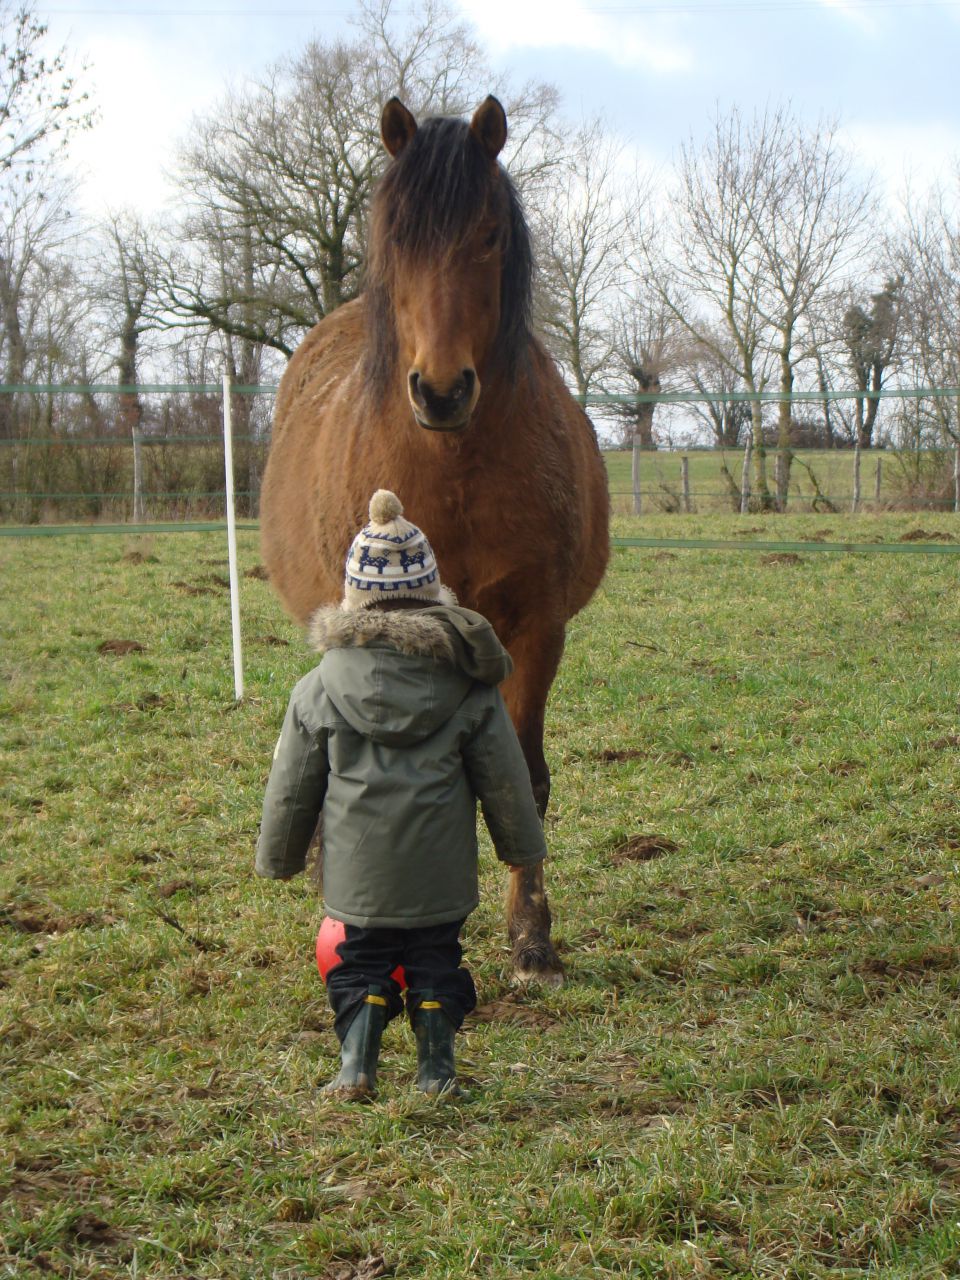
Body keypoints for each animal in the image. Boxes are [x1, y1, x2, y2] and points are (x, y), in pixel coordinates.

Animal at [260, 95, 609, 984]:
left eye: (488, 234)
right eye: (397, 238)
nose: (443, 390)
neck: (455, 465)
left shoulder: (536, 629)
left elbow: (525, 781)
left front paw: (532, 940)